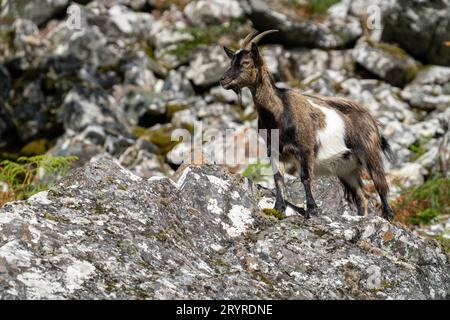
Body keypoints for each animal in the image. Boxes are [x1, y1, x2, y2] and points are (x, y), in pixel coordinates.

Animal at [221, 30, 394, 220]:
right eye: (231, 61)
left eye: (245, 62)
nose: (223, 80)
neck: (280, 111)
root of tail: (371, 118)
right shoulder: (274, 151)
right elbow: (278, 178)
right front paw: (279, 208)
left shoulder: (305, 149)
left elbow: (305, 177)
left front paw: (312, 209)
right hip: (346, 167)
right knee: (361, 196)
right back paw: (361, 217)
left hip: (370, 152)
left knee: (380, 185)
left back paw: (388, 216)